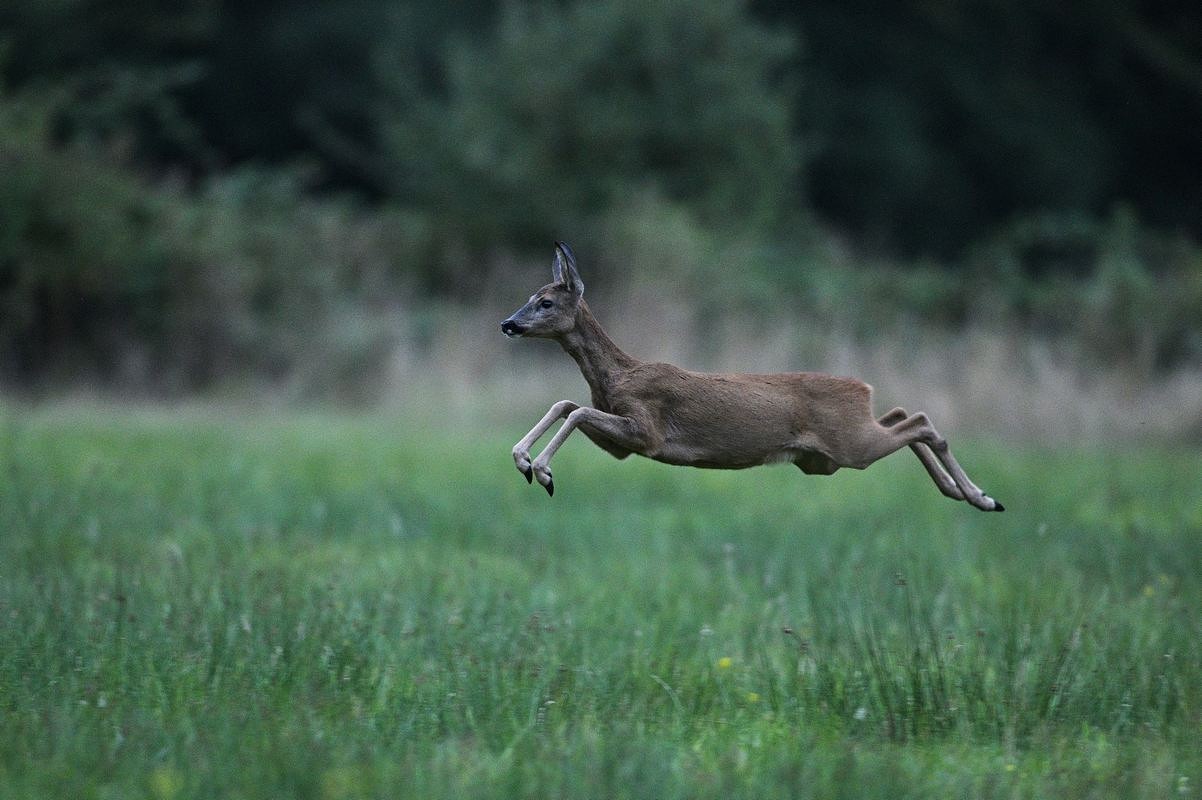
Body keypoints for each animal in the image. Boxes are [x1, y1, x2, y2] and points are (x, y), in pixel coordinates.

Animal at [500, 240, 1004, 511]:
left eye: (545, 302)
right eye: (529, 296)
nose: (508, 323)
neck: (618, 375)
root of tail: (863, 388)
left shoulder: (648, 430)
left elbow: (577, 410)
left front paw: (542, 471)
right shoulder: (625, 444)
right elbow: (568, 404)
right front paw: (525, 462)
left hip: (850, 444)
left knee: (920, 422)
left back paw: (982, 496)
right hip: (827, 456)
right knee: (903, 416)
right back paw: (965, 494)